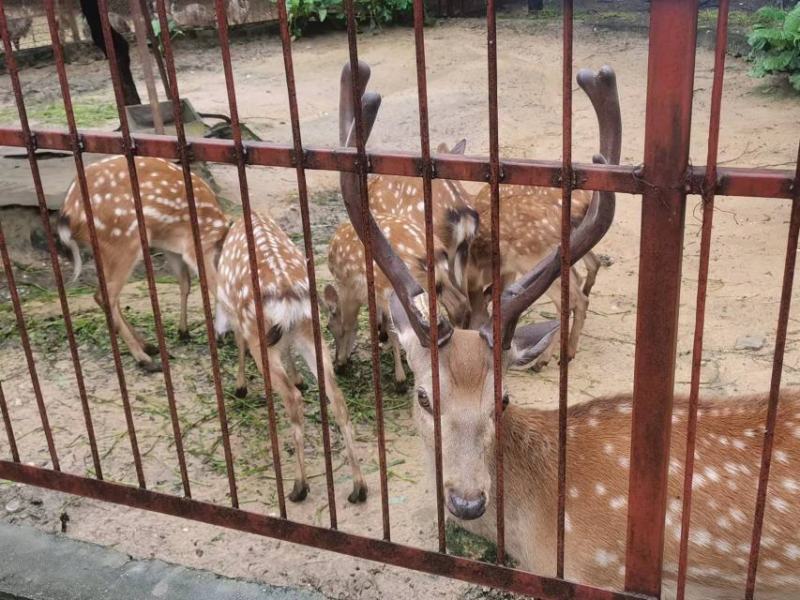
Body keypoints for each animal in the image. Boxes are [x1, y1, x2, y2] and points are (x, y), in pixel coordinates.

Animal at [58, 155, 230, 372]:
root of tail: (69, 211)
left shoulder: (173, 248)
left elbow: (185, 284)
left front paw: (183, 331)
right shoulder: (196, 245)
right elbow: (216, 287)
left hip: (104, 250)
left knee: (109, 295)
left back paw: (148, 346)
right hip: (124, 240)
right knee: (105, 296)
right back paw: (145, 359)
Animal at [213, 211, 367, 504]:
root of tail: (286, 296)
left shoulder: (240, 322)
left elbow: (239, 343)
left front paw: (240, 387)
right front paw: (298, 378)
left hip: (260, 336)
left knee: (293, 400)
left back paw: (299, 487)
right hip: (311, 330)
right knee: (337, 397)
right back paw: (358, 488)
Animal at [324, 213, 468, 390]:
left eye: (328, 327)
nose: (335, 365)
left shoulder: (349, 290)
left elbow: (349, 325)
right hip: (440, 283)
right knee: (459, 303)